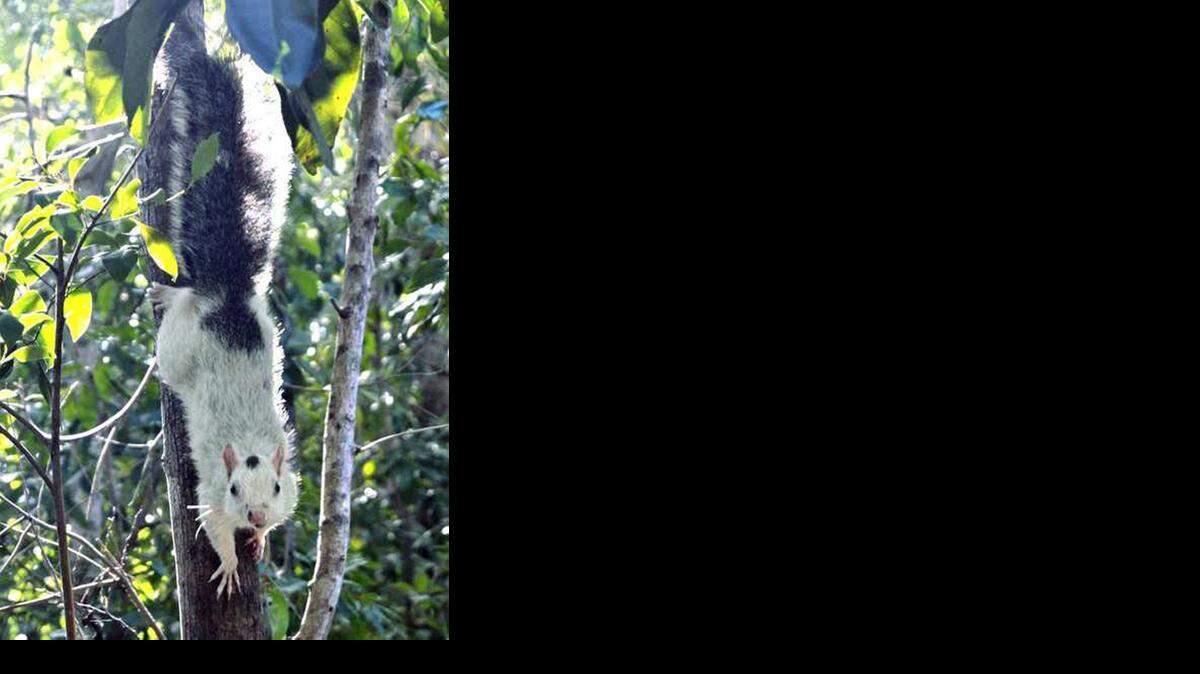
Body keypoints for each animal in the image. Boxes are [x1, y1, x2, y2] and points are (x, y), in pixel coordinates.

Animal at [141, 28, 299, 598]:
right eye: (235, 488)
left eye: (273, 487)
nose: (255, 516)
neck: (251, 442)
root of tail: (225, 296)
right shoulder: (209, 490)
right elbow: (212, 526)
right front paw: (232, 562)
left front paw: (264, 540)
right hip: (175, 348)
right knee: (176, 320)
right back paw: (168, 297)